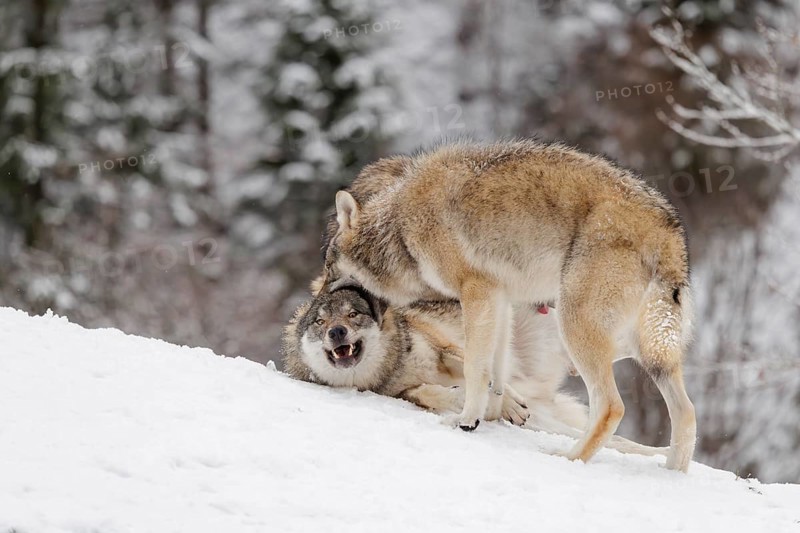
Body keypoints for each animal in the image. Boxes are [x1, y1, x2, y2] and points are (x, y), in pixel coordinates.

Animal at [282, 285, 668, 457]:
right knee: (614, 436)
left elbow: (477, 371)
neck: (394, 363)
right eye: (320, 322)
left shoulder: (447, 349)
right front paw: (460, 402)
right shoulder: (402, 392)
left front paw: (502, 401)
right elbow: (428, 392)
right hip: (556, 407)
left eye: (352, 315)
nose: (336, 333)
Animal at [323, 139, 696, 472]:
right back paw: (672, 473)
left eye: (328, 267)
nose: (321, 294)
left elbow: (475, 367)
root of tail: (669, 231)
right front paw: (495, 411)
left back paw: (570, 458)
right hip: (651, 349)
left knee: (611, 407)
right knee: (686, 413)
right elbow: (497, 369)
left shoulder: (476, 291)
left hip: (576, 323)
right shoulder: (500, 300)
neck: (399, 228)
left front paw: (466, 420)